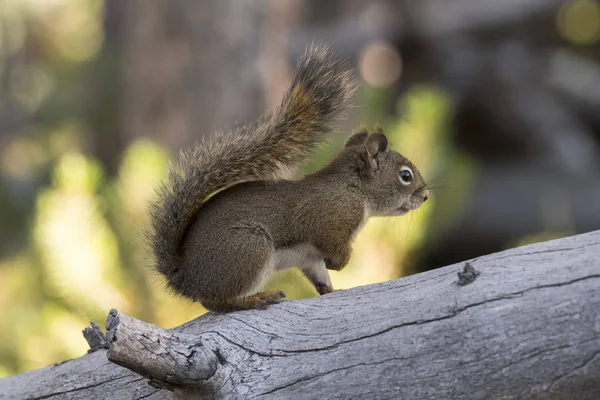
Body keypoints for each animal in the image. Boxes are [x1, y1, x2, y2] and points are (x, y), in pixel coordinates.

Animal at [150, 43, 432, 312]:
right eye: (405, 176)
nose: (426, 196)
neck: (356, 189)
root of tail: (187, 277)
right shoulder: (331, 221)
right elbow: (334, 248)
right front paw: (340, 263)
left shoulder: (311, 258)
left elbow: (319, 273)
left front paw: (331, 288)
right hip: (249, 248)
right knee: (216, 301)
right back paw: (255, 299)